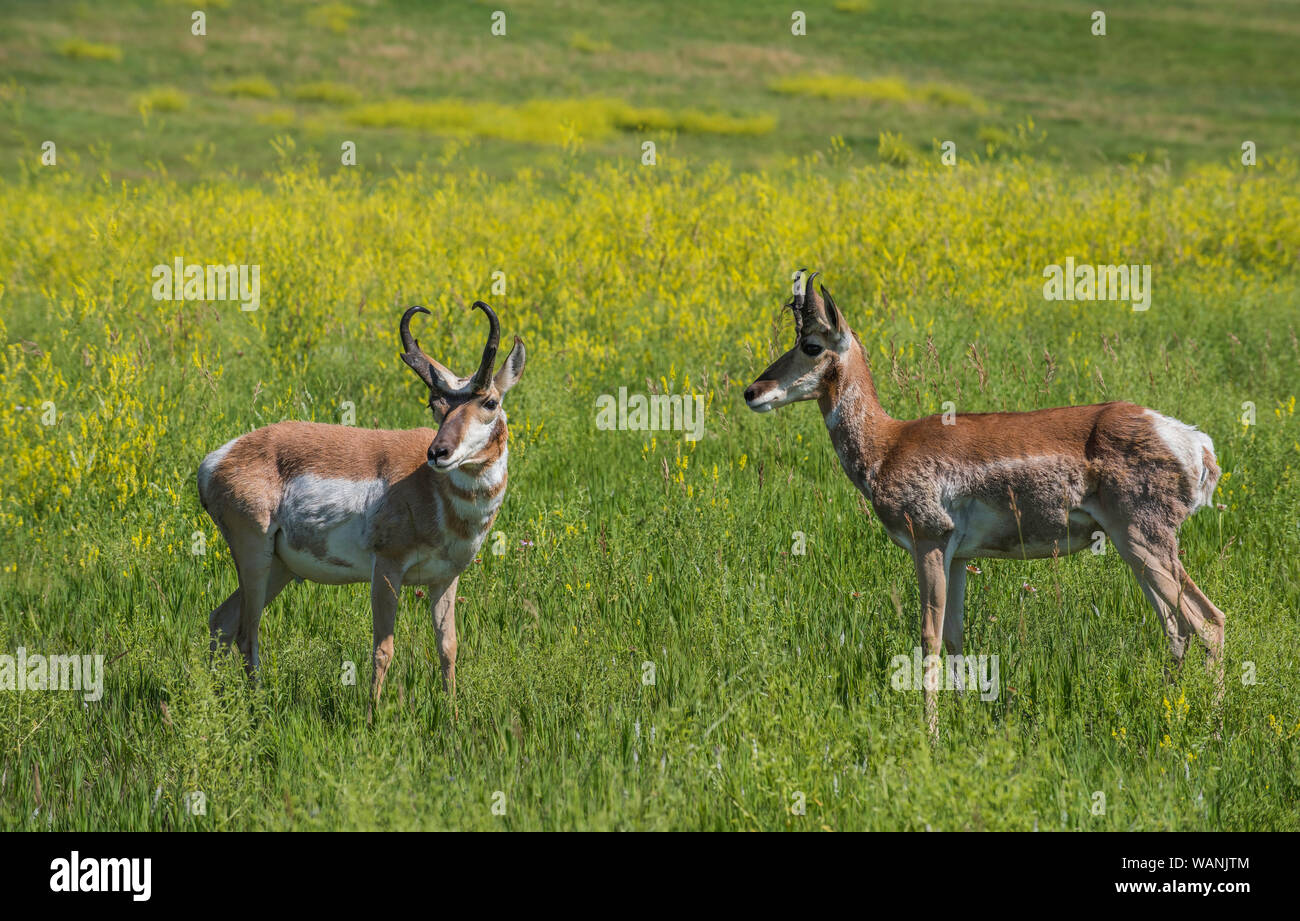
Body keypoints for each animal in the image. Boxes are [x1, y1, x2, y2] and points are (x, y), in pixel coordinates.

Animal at [197, 300, 525, 716]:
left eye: (490, 402)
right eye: (436, 405)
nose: (438, 452)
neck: (431, 487)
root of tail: (218, 458)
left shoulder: (444, 579)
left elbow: (448, 647)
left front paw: (452, 715)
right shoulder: (386, 569)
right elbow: (383, 649)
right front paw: (371, 717)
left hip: (280, 568)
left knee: (222, 620)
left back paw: (213, 703)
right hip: (254, 556)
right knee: (246, 634)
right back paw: (256, 709)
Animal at [744, 271, 1226, 730]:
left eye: (811, 344)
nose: (752, 392)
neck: (888, 443)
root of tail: (1195, 442)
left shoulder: (930, 542)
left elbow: (929, 636)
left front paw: (931, 736)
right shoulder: (959, 558)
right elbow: (954, 637)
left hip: (1143, 541)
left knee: (1208, 622)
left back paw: (1212, 724)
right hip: (1134, 548)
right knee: (1175, 629)